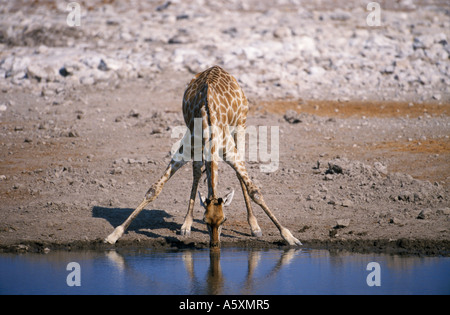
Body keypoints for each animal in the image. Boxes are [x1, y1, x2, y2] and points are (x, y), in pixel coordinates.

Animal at [104, 65, 302, 248]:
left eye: (224, 220)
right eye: (206, 221)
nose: (214, 244)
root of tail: (217, 67)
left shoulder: (229, 151)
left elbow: (255, 191)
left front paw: (289, 237)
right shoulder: (186, 147)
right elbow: (154, 190)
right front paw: (114, 235)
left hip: (241, 126)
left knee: (238, 174)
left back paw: (254, 226)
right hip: (199, 146)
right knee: (197, 171)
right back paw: (186, 225)